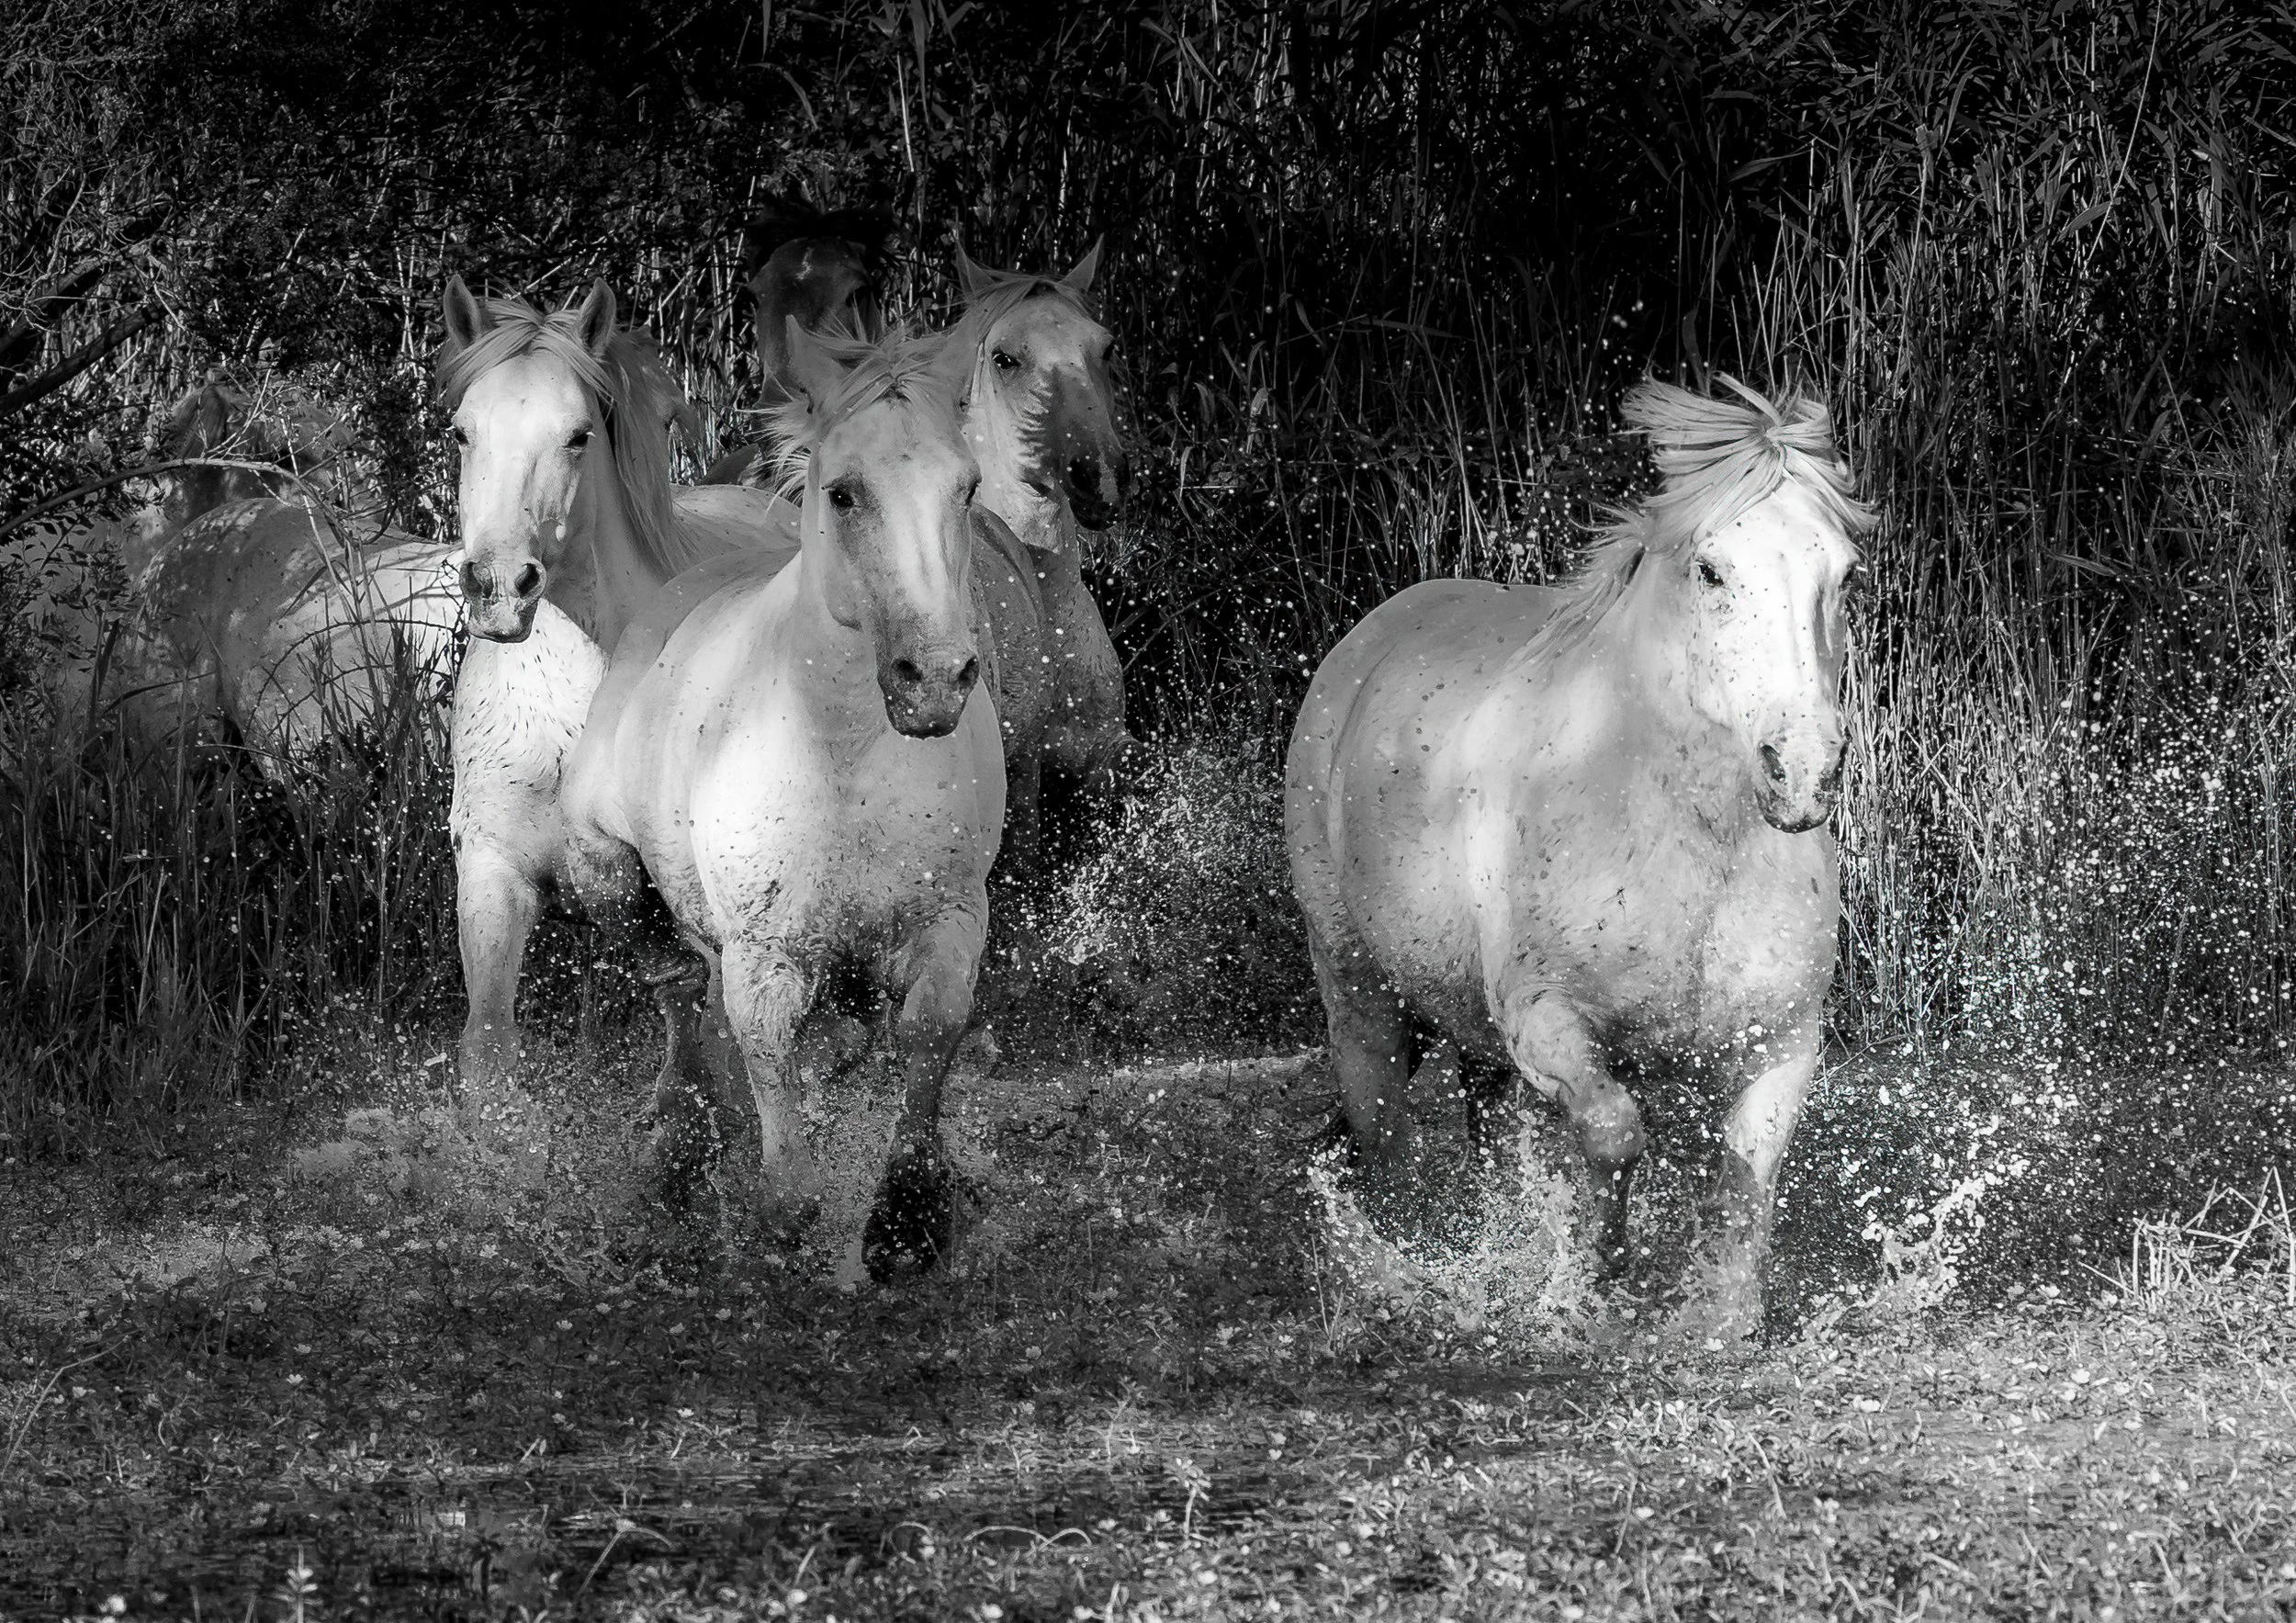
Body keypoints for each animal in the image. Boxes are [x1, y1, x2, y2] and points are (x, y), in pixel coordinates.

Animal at [560, 321, 1001, 1282]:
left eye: (968, 487)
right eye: (843, 492)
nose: (934, 681)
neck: (845, 765)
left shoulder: (950, 916)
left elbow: (929, 1033)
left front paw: (909, 1219)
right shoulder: (765, 952)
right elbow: (770, 1072)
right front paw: (775, 1215)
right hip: (606, 874)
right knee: (677, 992)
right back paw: (675, 1152)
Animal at [1285, 376, 1873, 1336]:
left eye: (1843, 574)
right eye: (1712, 570)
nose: (1804, 769)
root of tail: (1367, 640)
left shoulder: (1784, 1040)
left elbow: (1745, 1169)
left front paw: (1723, 1316)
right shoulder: (1548, 1021)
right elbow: (1614, 1131)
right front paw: (1594, 1287)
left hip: (1464, 1026)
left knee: (1483, 1130)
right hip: (1359, 996)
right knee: (1384, 1145)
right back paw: (1401, 1276)